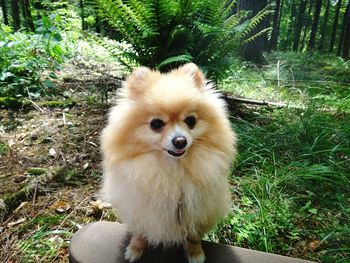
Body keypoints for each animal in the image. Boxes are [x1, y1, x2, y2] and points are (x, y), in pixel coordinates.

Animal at [101, 64, 238, 263]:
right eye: (156, 124)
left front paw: (195, 253)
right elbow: (141, 232)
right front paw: (135, 248)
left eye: (190, 121)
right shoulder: (140, 209)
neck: (173, 169)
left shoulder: (197, 210)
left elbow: (193, 235)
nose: (180, 141)